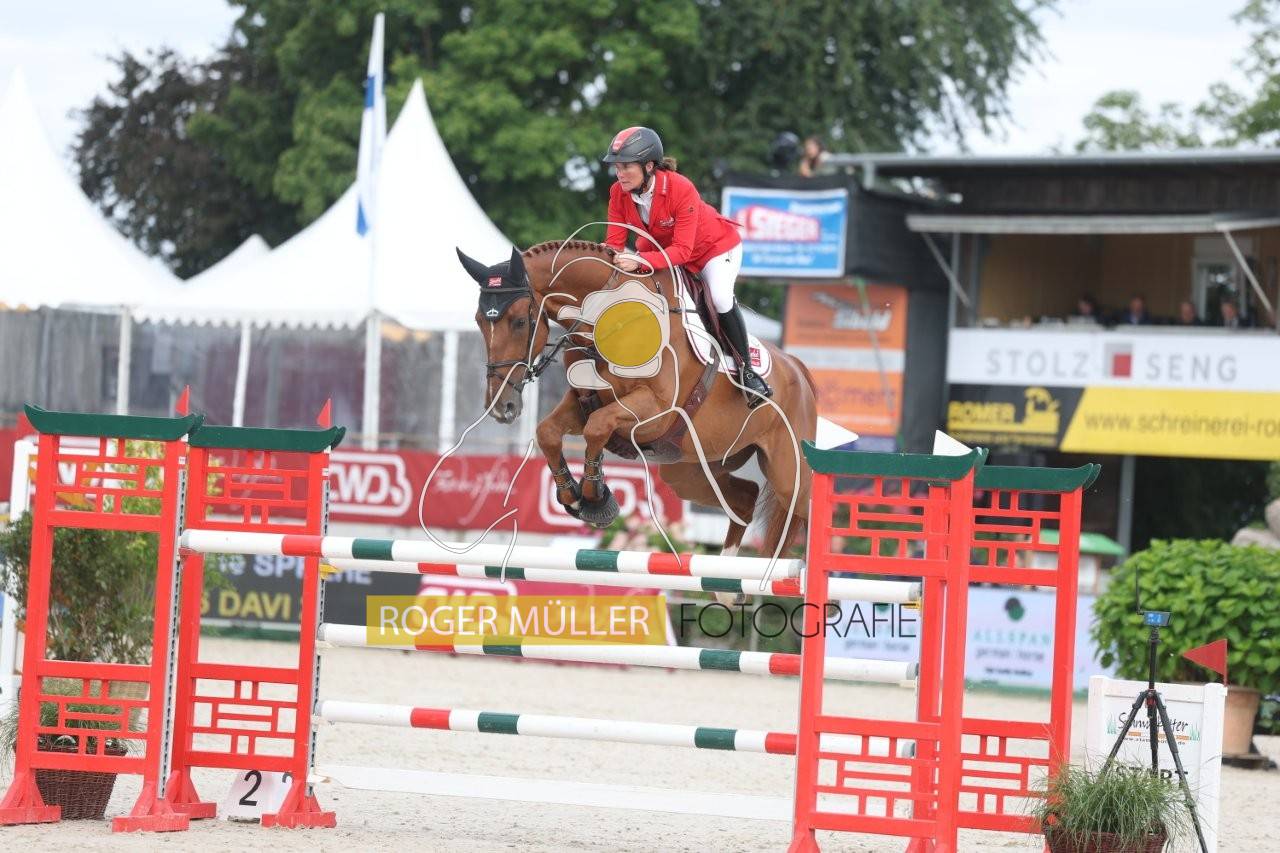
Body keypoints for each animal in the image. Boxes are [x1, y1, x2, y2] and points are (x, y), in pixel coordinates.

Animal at [456, 241, 818, 564]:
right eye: (478, 320)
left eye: (519, 321)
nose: (502, 406)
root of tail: (799, 370)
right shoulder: (582, 402)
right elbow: (549, 432)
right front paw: (576, 496)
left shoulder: (655, 409)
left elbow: (598, 426)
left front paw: (594, 498)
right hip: (689, 469)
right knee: (744, 499)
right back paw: (726, 584)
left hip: (789, 475)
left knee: (804, 507)